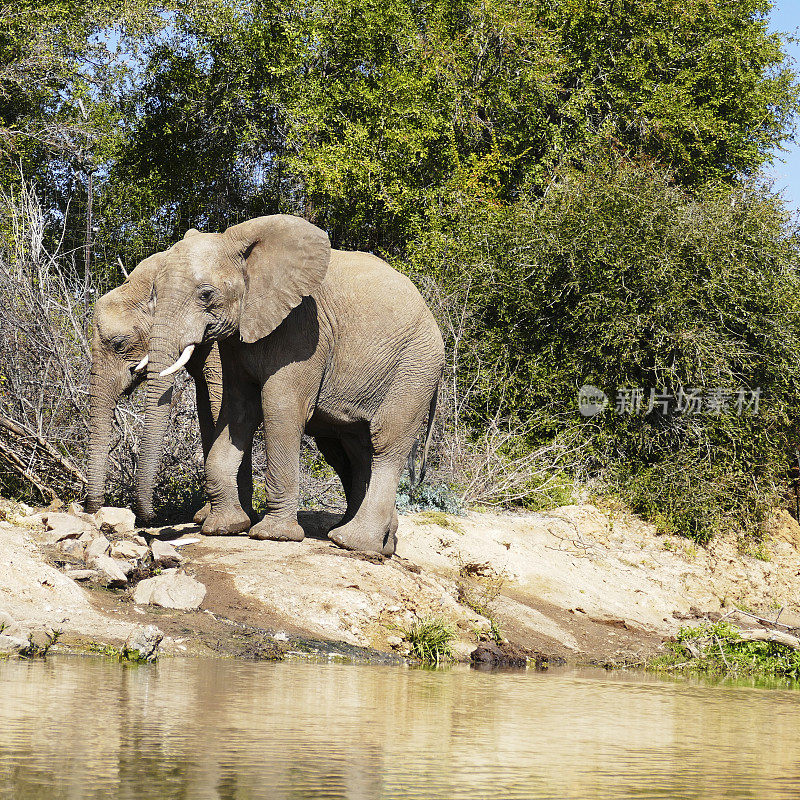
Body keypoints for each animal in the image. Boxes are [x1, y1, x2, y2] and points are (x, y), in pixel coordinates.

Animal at [85, 252, 255, 524]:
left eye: (120, 344)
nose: (92, 509)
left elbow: (221, 403)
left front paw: (236, 517)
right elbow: (205, 408)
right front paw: (205, 516)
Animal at [133, 212, 444, 556]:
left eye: (206, 295)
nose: (150, 519)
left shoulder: (303, 330)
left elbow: (279, 408)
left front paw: (273, 536)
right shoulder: (238, 339)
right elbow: (237, 410)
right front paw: (224, 528)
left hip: (415, 368)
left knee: (386, 444)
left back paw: (352, 543)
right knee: (355, 450)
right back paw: (378, 545)